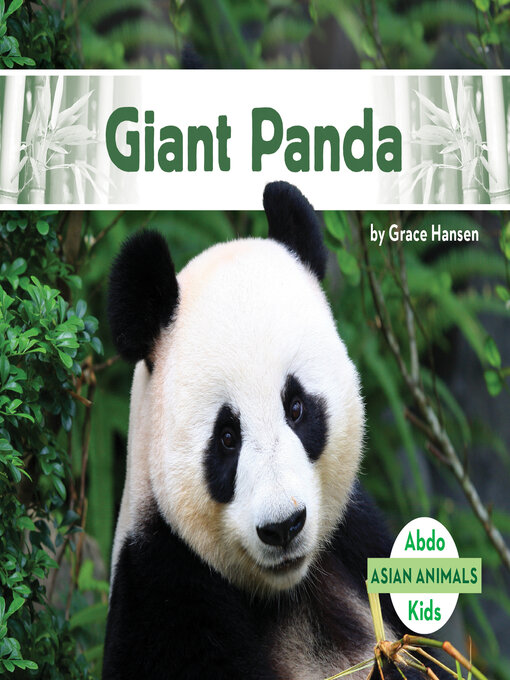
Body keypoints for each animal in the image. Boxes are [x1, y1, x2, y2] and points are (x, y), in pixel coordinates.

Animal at [102, 182, 442, 680]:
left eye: (296, 408)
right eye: (227, 437)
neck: (285, 591)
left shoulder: (359, 541)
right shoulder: (163, 593)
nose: (283, 527)